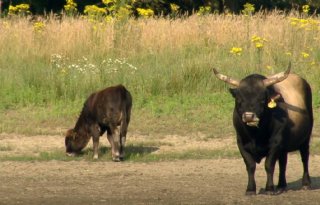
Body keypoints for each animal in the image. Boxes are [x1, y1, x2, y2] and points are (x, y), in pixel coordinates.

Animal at [212, 63, 312, 195]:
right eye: (239, 100)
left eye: (262, 100)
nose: (249, 116)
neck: (255, 135)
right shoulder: (241, 143)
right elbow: (250, 166)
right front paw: (250, 189)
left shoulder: (275, 142)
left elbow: (269, 165)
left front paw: (269, 188)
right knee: (283, 162)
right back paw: (281, 185)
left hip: (306, 138)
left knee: (304, 157)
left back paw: (306, 183)